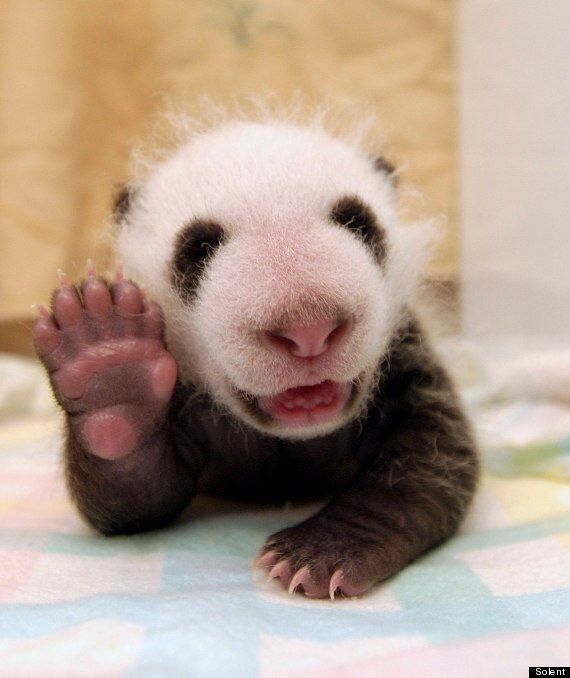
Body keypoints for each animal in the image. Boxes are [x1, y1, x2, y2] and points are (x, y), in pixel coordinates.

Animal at [31, 117, 474, 600]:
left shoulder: (404, 353)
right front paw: (110, 366)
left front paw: (321, 554)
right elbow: (138, 492)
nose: (308, 328)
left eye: (358, 222)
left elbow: (430, 463)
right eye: (198, 248)